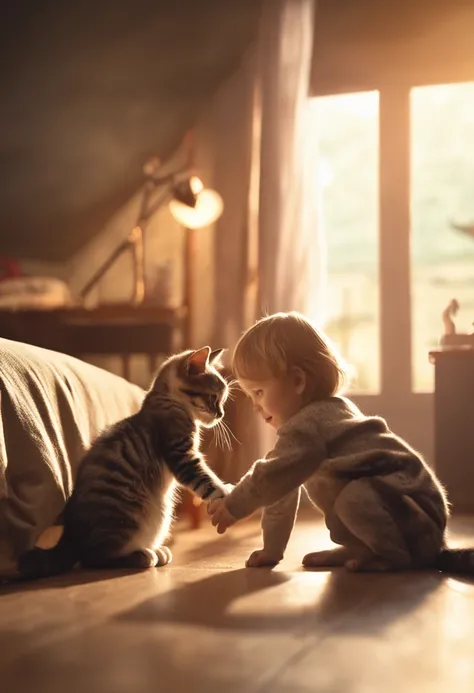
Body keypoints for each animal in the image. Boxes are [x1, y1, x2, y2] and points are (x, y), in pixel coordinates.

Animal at [19, 346, 231, 580]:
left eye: (222, 400)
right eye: (212, 397)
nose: (221, 414)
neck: (169, 401)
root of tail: (70, 534)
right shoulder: (182, 456)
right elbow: (207, 481)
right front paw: (227, 493)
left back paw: (155, 551)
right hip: (127, 517)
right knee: (93, 558)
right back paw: (143, 556)